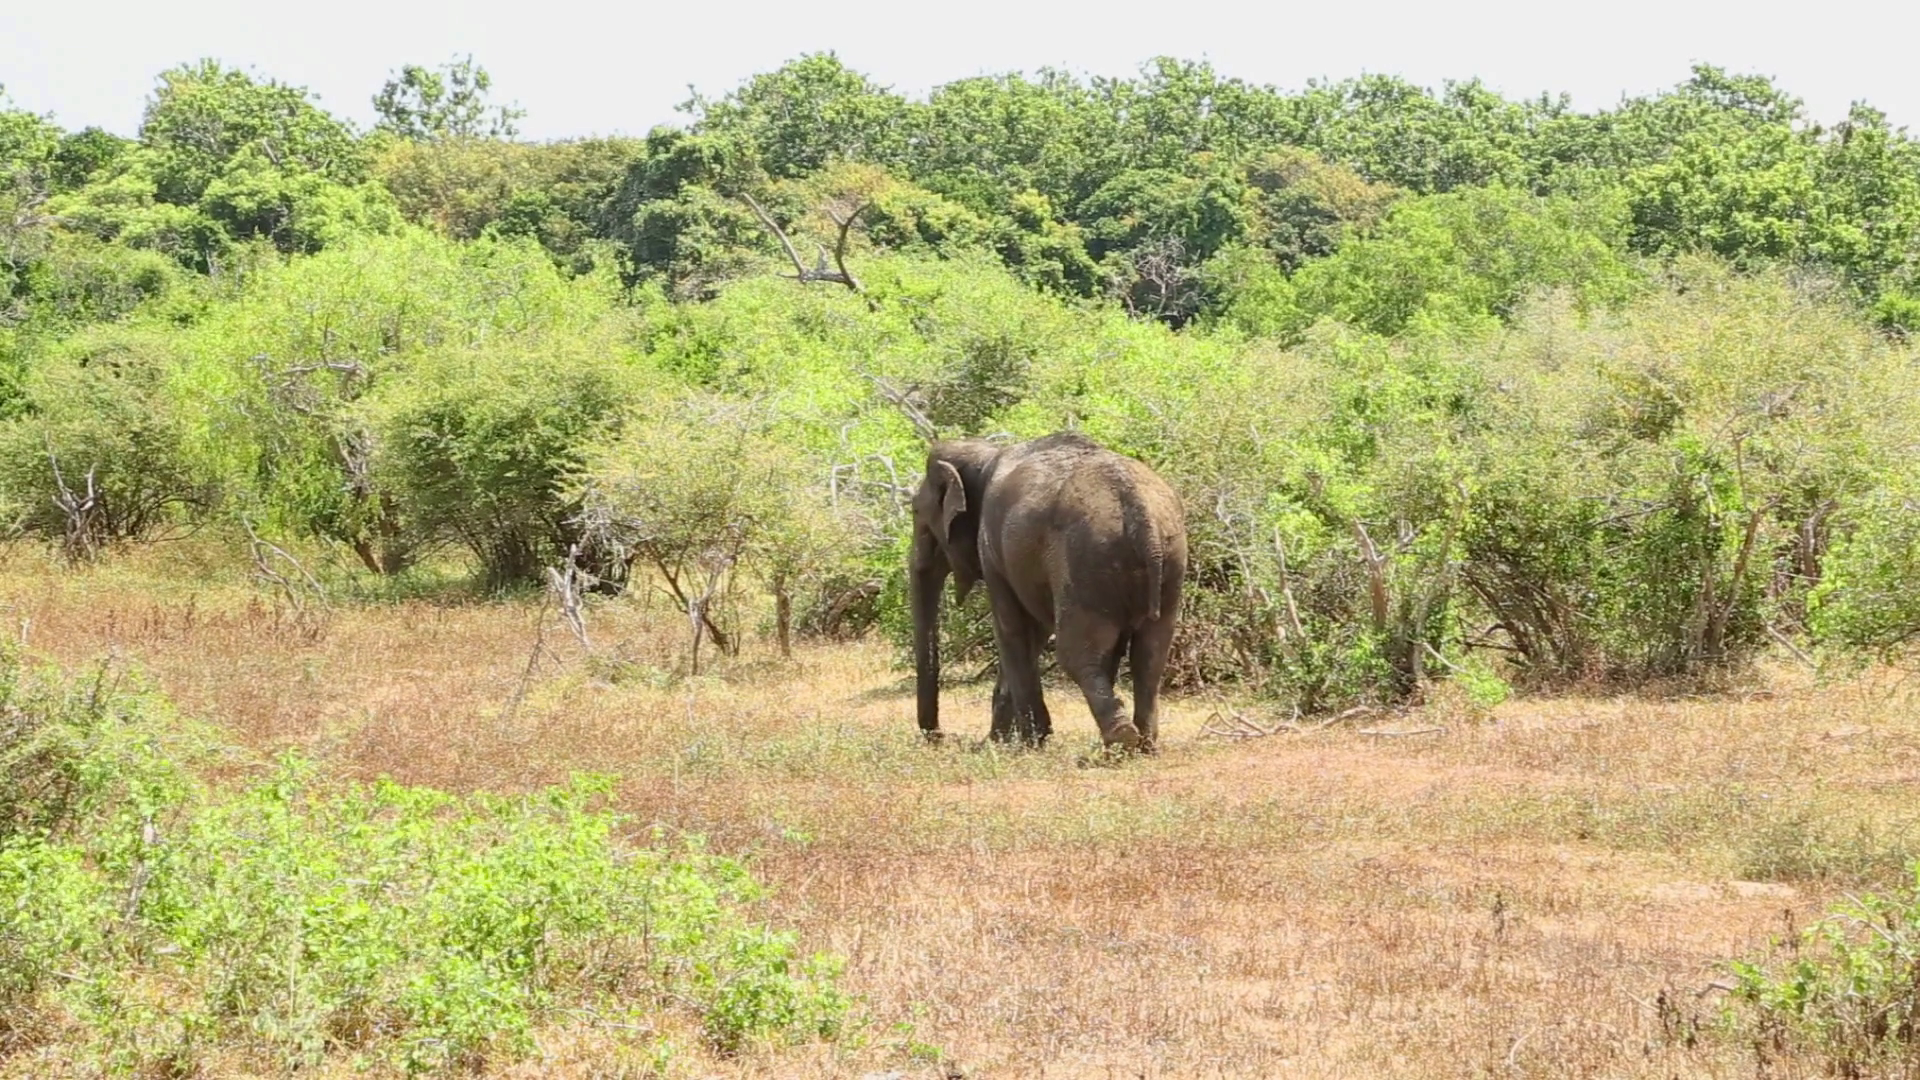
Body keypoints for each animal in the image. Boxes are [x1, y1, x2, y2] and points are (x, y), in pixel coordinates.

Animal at [909, 432, 1187, 750]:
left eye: (915, 511)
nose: (939, 737)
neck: (986, 453)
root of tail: (1141, 514)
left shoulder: (992, 549)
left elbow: (1012, 627)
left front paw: (1026, 742)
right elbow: (1035, 630)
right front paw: (1002, 742)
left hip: (1084, 562)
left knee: (1077, 652)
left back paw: (1121, 741)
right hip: (1168, 563)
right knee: (1150, 653)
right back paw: (1142, 745)